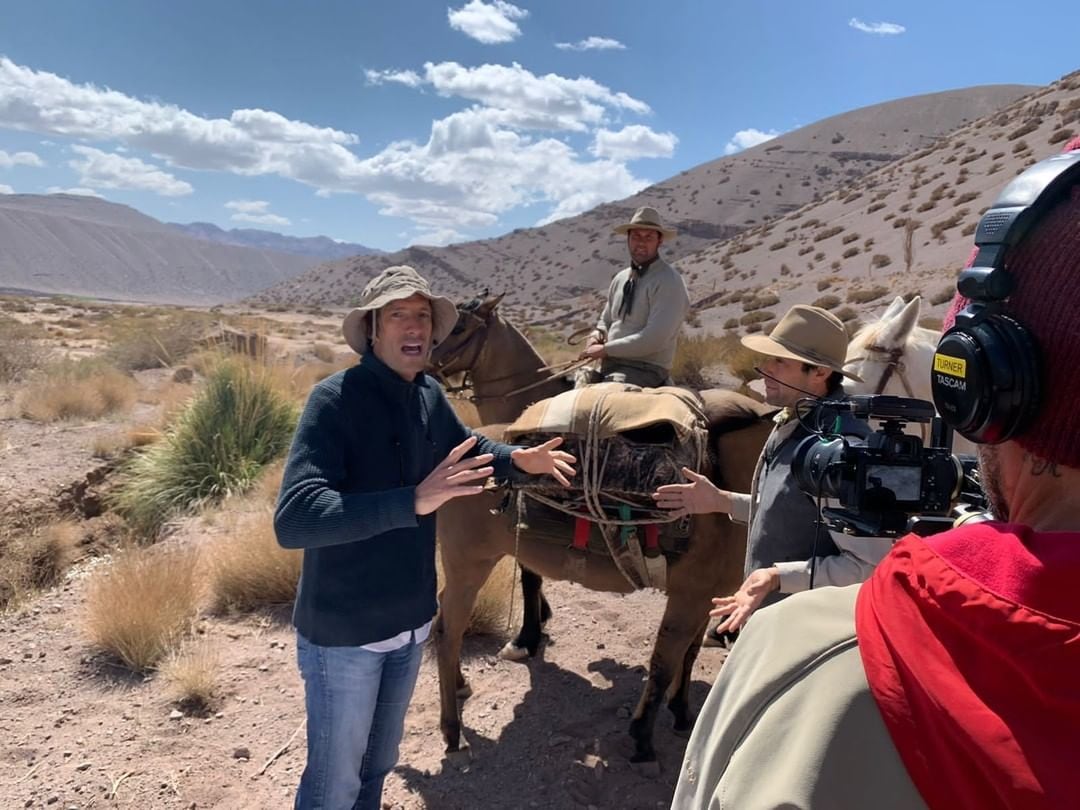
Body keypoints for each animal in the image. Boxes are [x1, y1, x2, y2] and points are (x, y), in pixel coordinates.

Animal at [425, 300, 773, 768]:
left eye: (461, 327)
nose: (427, 360)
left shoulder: (701, 594)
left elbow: (684, 656)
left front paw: (681, 714)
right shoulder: (689, 595)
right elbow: (665, 662)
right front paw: (643, 738)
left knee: (447, 626)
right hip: (469, 563)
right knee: (449, 629)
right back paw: (451, 728)